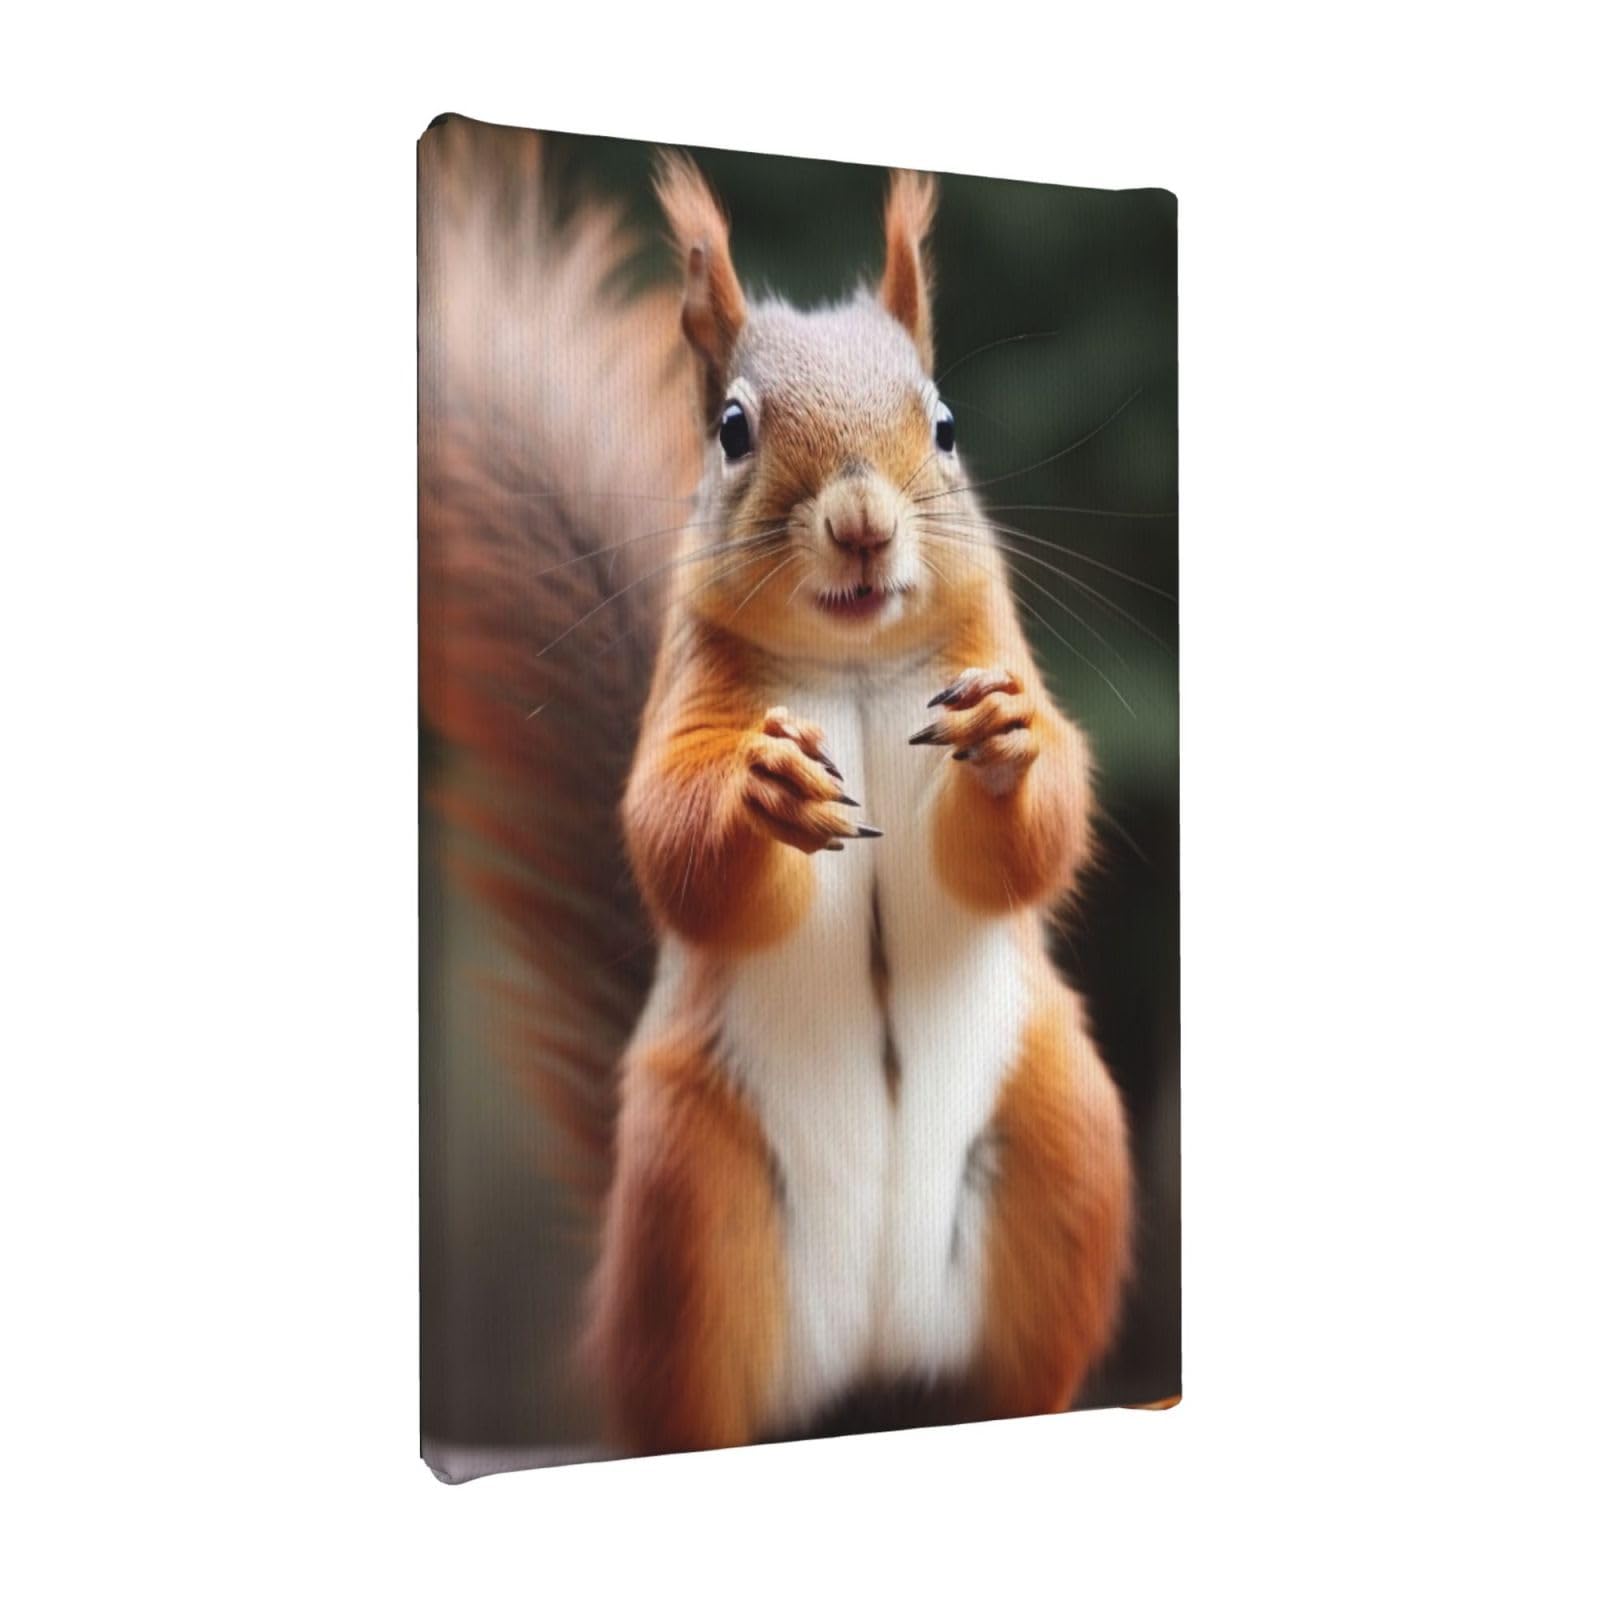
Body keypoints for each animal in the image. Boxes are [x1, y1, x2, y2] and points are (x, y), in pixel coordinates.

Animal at [420, 117, 1133, 1454]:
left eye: (944, 425)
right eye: (734, 429)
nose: (859, 521)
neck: (852, 666)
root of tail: (869, 1374)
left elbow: (1030, 843)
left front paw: (1012, 744)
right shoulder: (686, 702)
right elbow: (671, 844)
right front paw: (762, 793)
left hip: (1061, 1152)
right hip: (692, 1215)